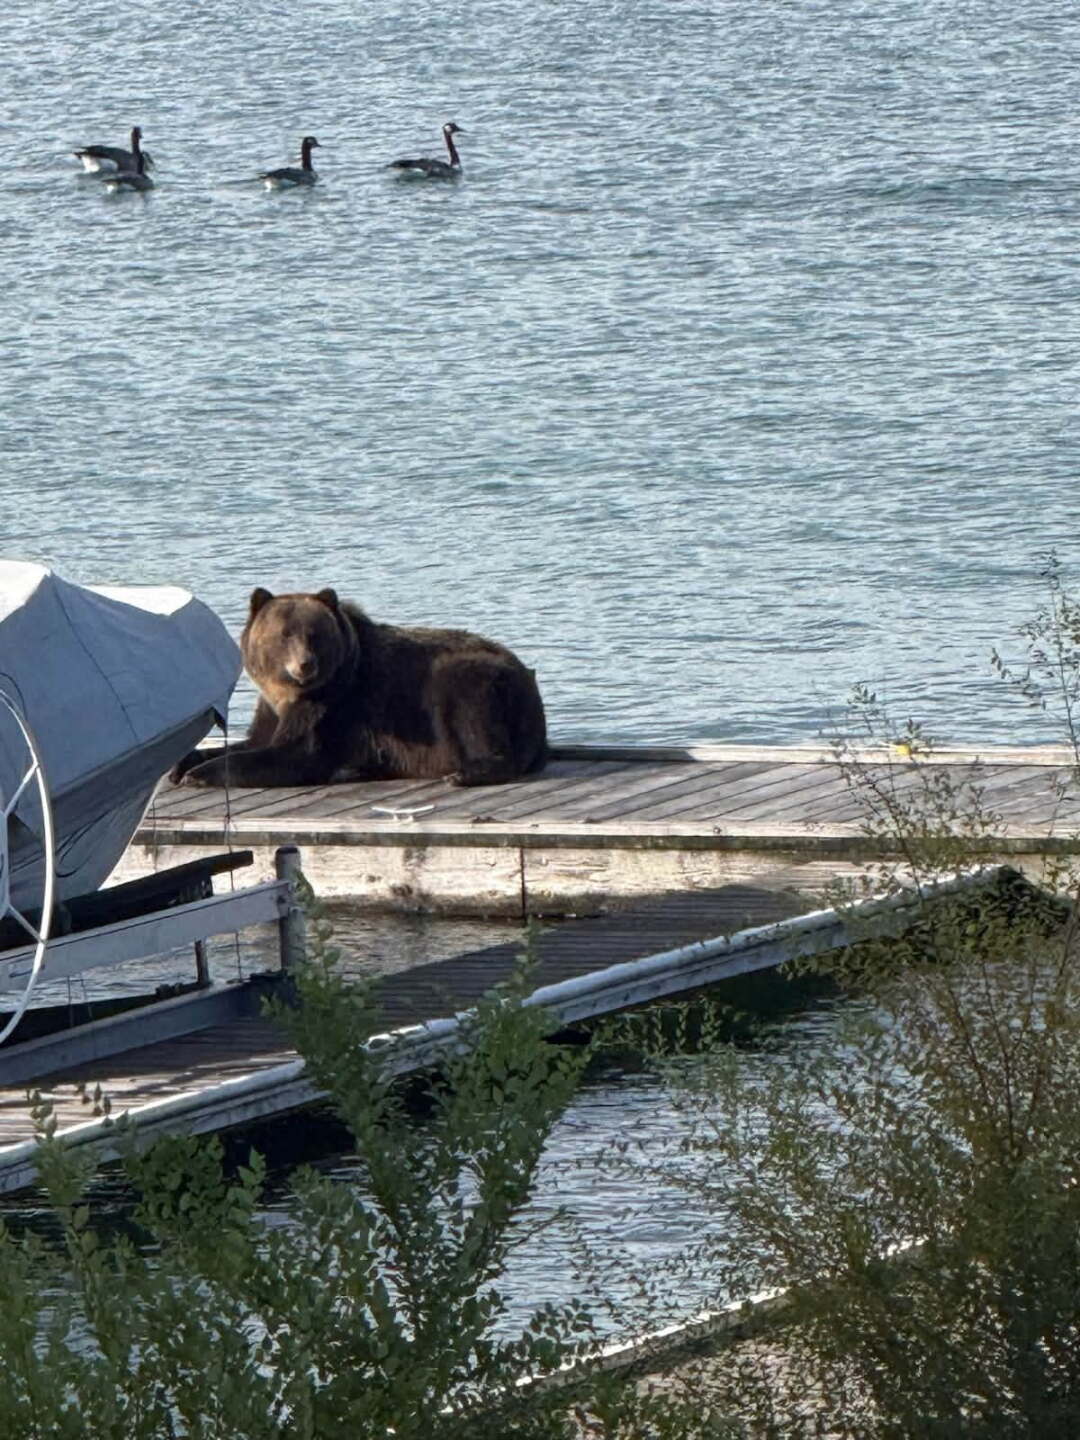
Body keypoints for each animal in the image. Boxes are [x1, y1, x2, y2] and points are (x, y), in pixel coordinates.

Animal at [170, 587, 548, 789]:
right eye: (285, 634)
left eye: (314, 634)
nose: (305, 664)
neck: (289, 692)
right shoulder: (273, 707)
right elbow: (254, 741)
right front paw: (184, 764)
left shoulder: (334, 705)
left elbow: (294, 754)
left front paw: (198, 775)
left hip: (475, 682)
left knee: (471, 709)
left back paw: (465, 773)